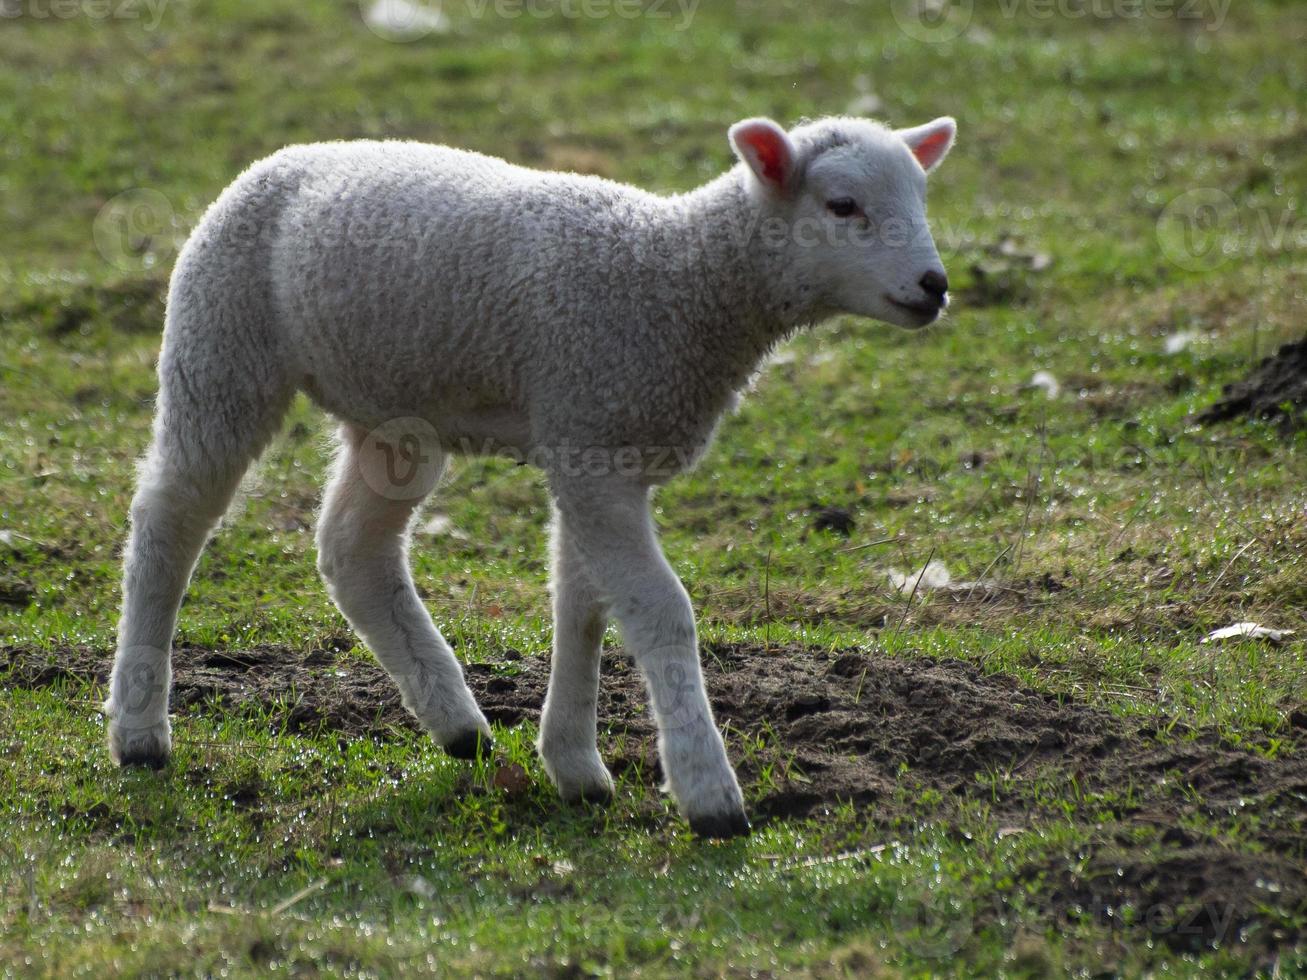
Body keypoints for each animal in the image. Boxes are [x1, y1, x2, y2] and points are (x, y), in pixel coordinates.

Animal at [101, 113, 956, 836]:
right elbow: (658, 612)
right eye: (842, 205)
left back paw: (457, 724)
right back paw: (139, 730)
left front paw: (574, 764)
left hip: (396, 416)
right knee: (169, 520)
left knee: (353, 550)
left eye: (920, 196)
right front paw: (708, 792)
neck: (675, 279)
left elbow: (584, 609)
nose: (934, 285)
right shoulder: (594, 446)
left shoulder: (594, 450)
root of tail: (286, 157)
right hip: (220, 346)